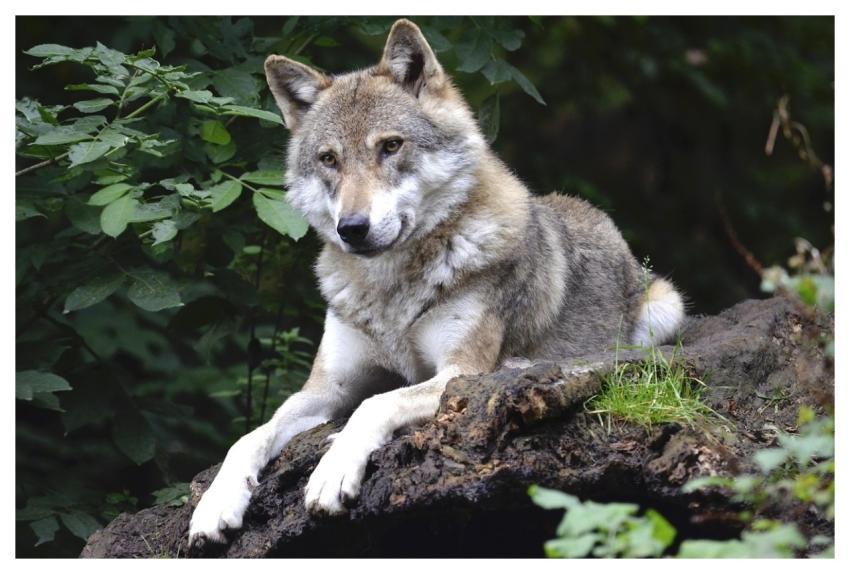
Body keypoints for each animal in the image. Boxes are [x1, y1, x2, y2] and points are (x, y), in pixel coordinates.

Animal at [188, 18, 685, 546]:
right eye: (329, 159)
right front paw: (216, 503)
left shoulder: (456, 372)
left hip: (664, 308)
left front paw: (332, 471)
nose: (352, 228)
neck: (390, 292)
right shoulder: (326, 388)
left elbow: (375, 404)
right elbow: (250, 436)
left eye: (390, 146)